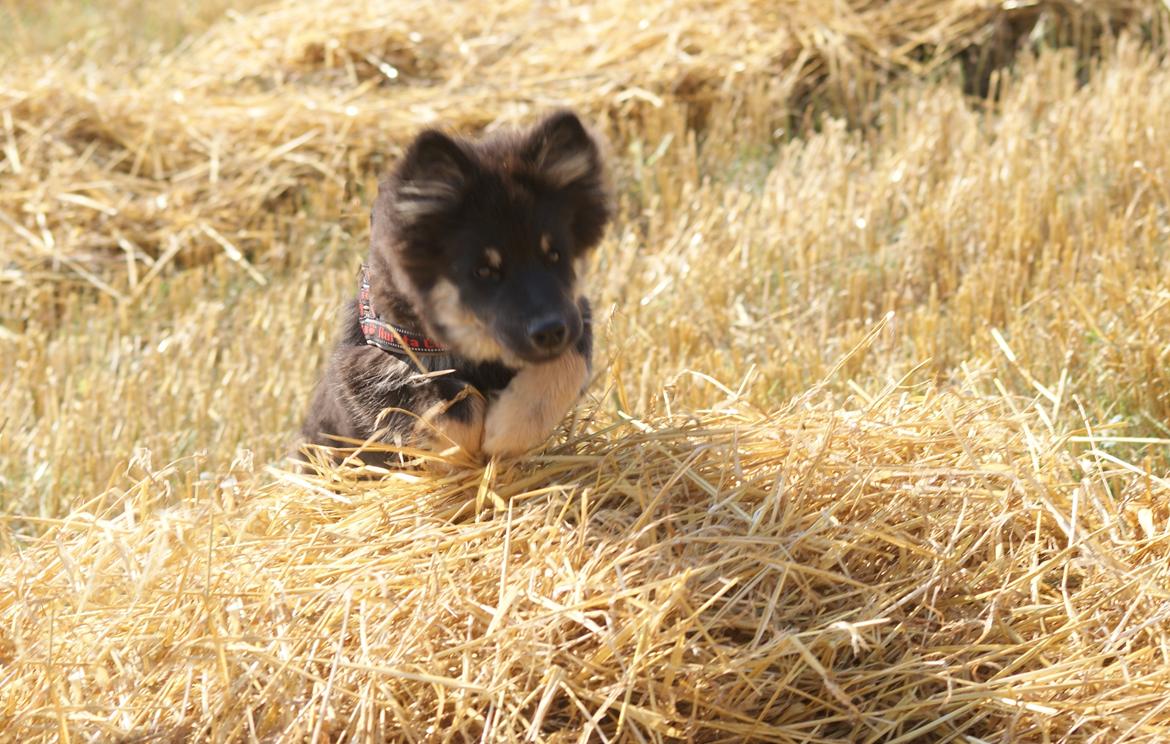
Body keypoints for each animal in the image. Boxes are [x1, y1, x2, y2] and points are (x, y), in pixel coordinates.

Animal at [297, 108, 613, 465]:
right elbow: (451, 402)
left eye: (555, 255)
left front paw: (509, 429)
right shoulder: (370, 371)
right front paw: (460, 451)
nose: (550, 331)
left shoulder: (575, 315)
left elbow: (566, 364)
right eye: (483, 270)